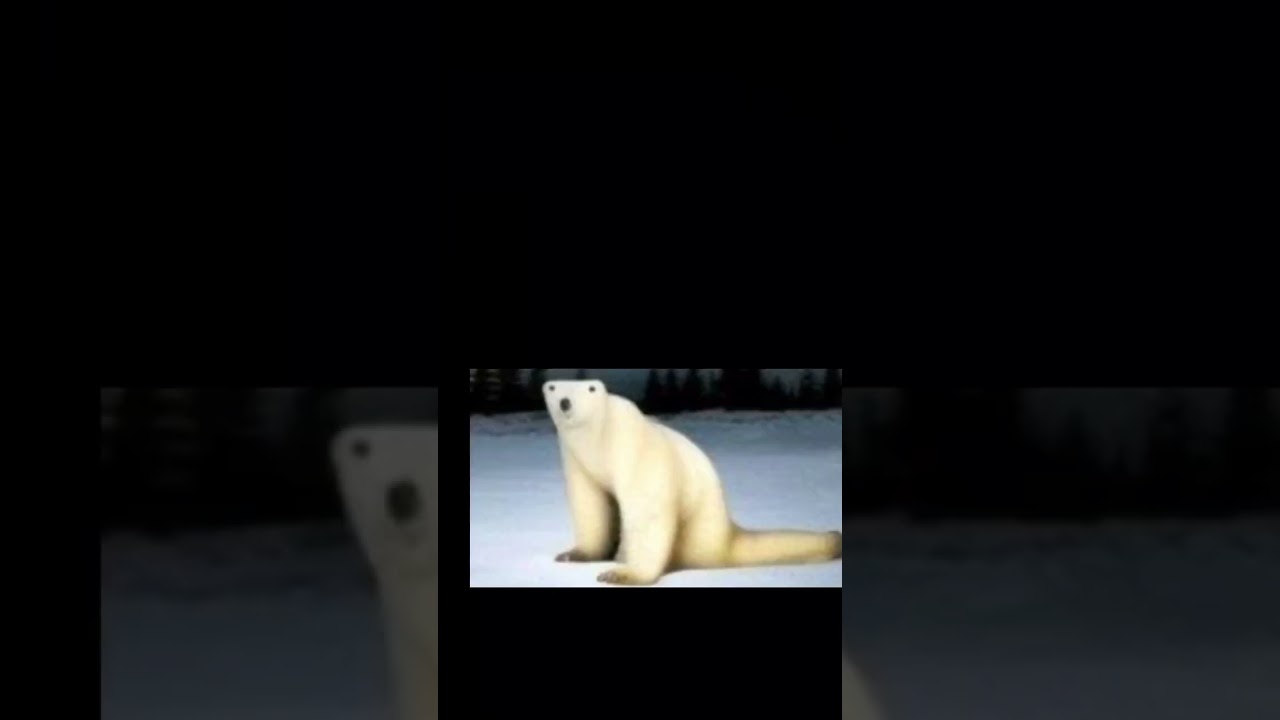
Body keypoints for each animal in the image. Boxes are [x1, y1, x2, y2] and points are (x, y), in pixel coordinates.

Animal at [544, 379, 841, 586]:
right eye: (553, 387)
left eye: (589, 388)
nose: (565, 402)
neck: (598, 440)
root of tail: (726, 534)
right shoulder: (577, 461)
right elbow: (591, 503)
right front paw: (574, 554)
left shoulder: (634, 448)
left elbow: (648, 509)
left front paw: (621, 574)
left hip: (696, 530)